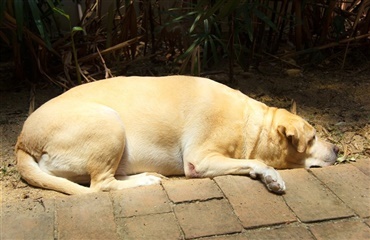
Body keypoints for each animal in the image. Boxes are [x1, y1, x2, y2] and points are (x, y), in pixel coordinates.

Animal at [15, 76, 338, 194]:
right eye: (311, 139)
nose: (337, 150)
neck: (252, 124)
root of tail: (22, 140)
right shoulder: (200, 160)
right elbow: (256, 162)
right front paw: (271, 175)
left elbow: (251, 162)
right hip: (109, 123)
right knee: (101, 185)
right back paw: (145, 180)